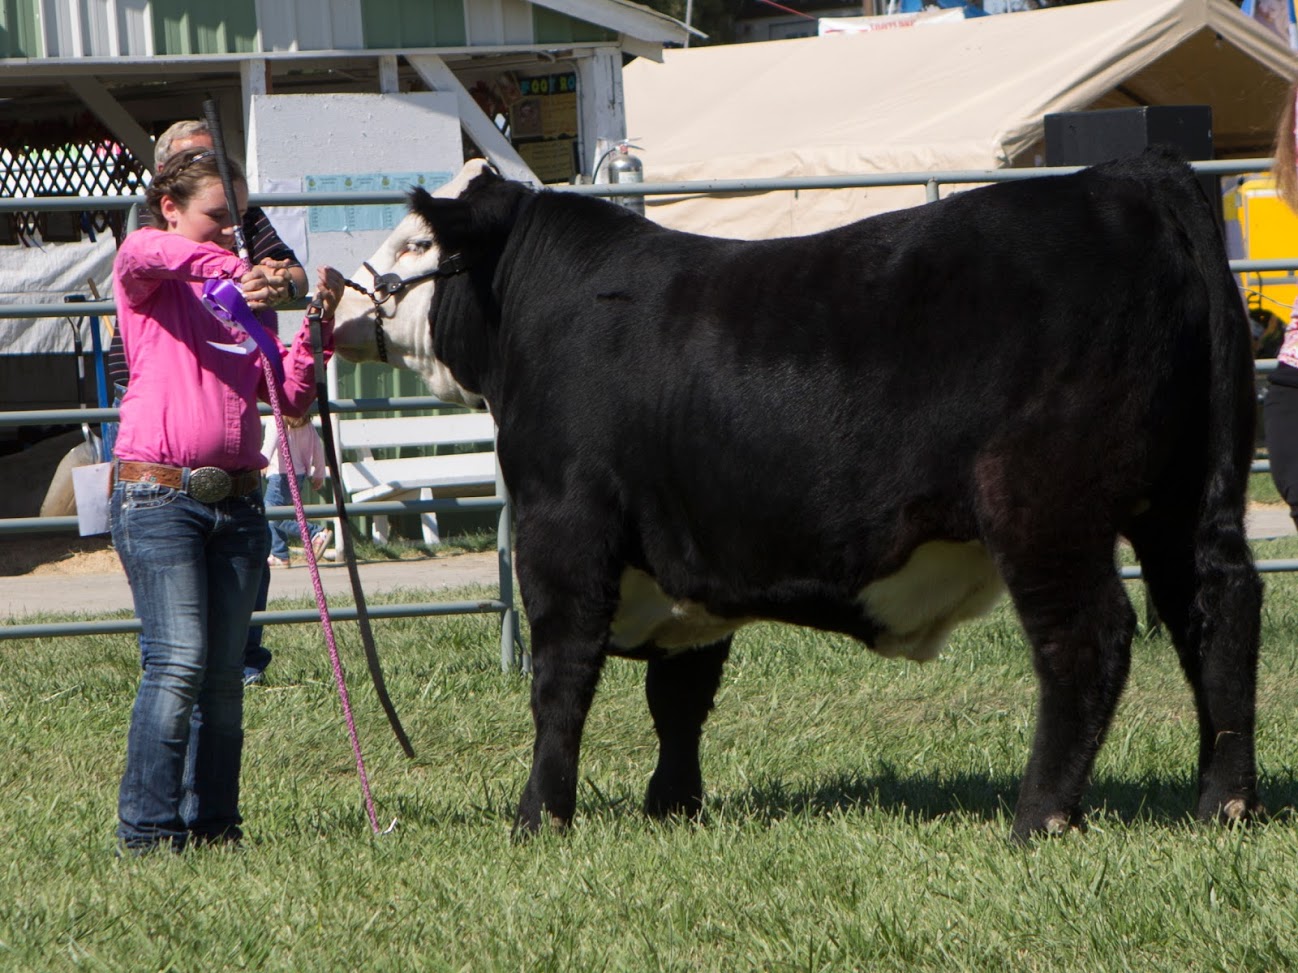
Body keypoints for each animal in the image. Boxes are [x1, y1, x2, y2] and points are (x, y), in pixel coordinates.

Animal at [332, 151, 1263, 841]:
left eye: (416, 243)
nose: (340, 293)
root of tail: (1127, 178)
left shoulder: (564, 529)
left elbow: (561, 679)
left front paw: (539, 817)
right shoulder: (686, 554)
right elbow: (680, 697)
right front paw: (672, 808)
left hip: (1042, 508)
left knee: (1088, 639)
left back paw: (1041, 817)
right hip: (1189, 498)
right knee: (1218, 608)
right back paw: (1224, 802)